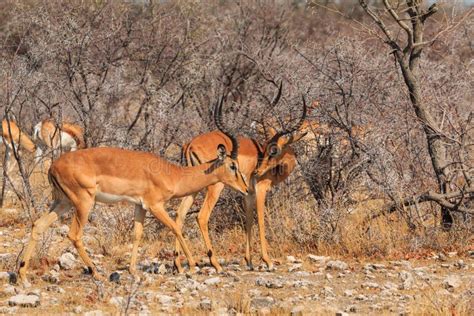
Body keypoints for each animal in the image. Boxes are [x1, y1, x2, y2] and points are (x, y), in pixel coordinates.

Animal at [18, 99, 248, 284]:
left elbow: (137, 234)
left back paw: (22, 275)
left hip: (63, 202)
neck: (174, 174)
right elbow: (175, 227)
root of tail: (53, 166)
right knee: (74, 235)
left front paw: (133, 271)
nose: (245, 189)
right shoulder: (155, 205)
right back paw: (97, 273)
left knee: (38, 225)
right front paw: (190, 266)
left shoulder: (140, 206)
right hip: (83, 202)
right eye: (233, 165)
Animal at [174, 82, 308, 272]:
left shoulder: (248, 194)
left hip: (193, 187)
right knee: (201, 216)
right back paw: (215, 264)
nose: (257, 171)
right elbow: (260, 220)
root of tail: (190, 144)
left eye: (273, 149)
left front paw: (249, 261)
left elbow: (249, 221)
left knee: (179, 214)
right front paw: (267, 261)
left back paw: (178, 264)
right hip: (215, 187)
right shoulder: (260, 190)